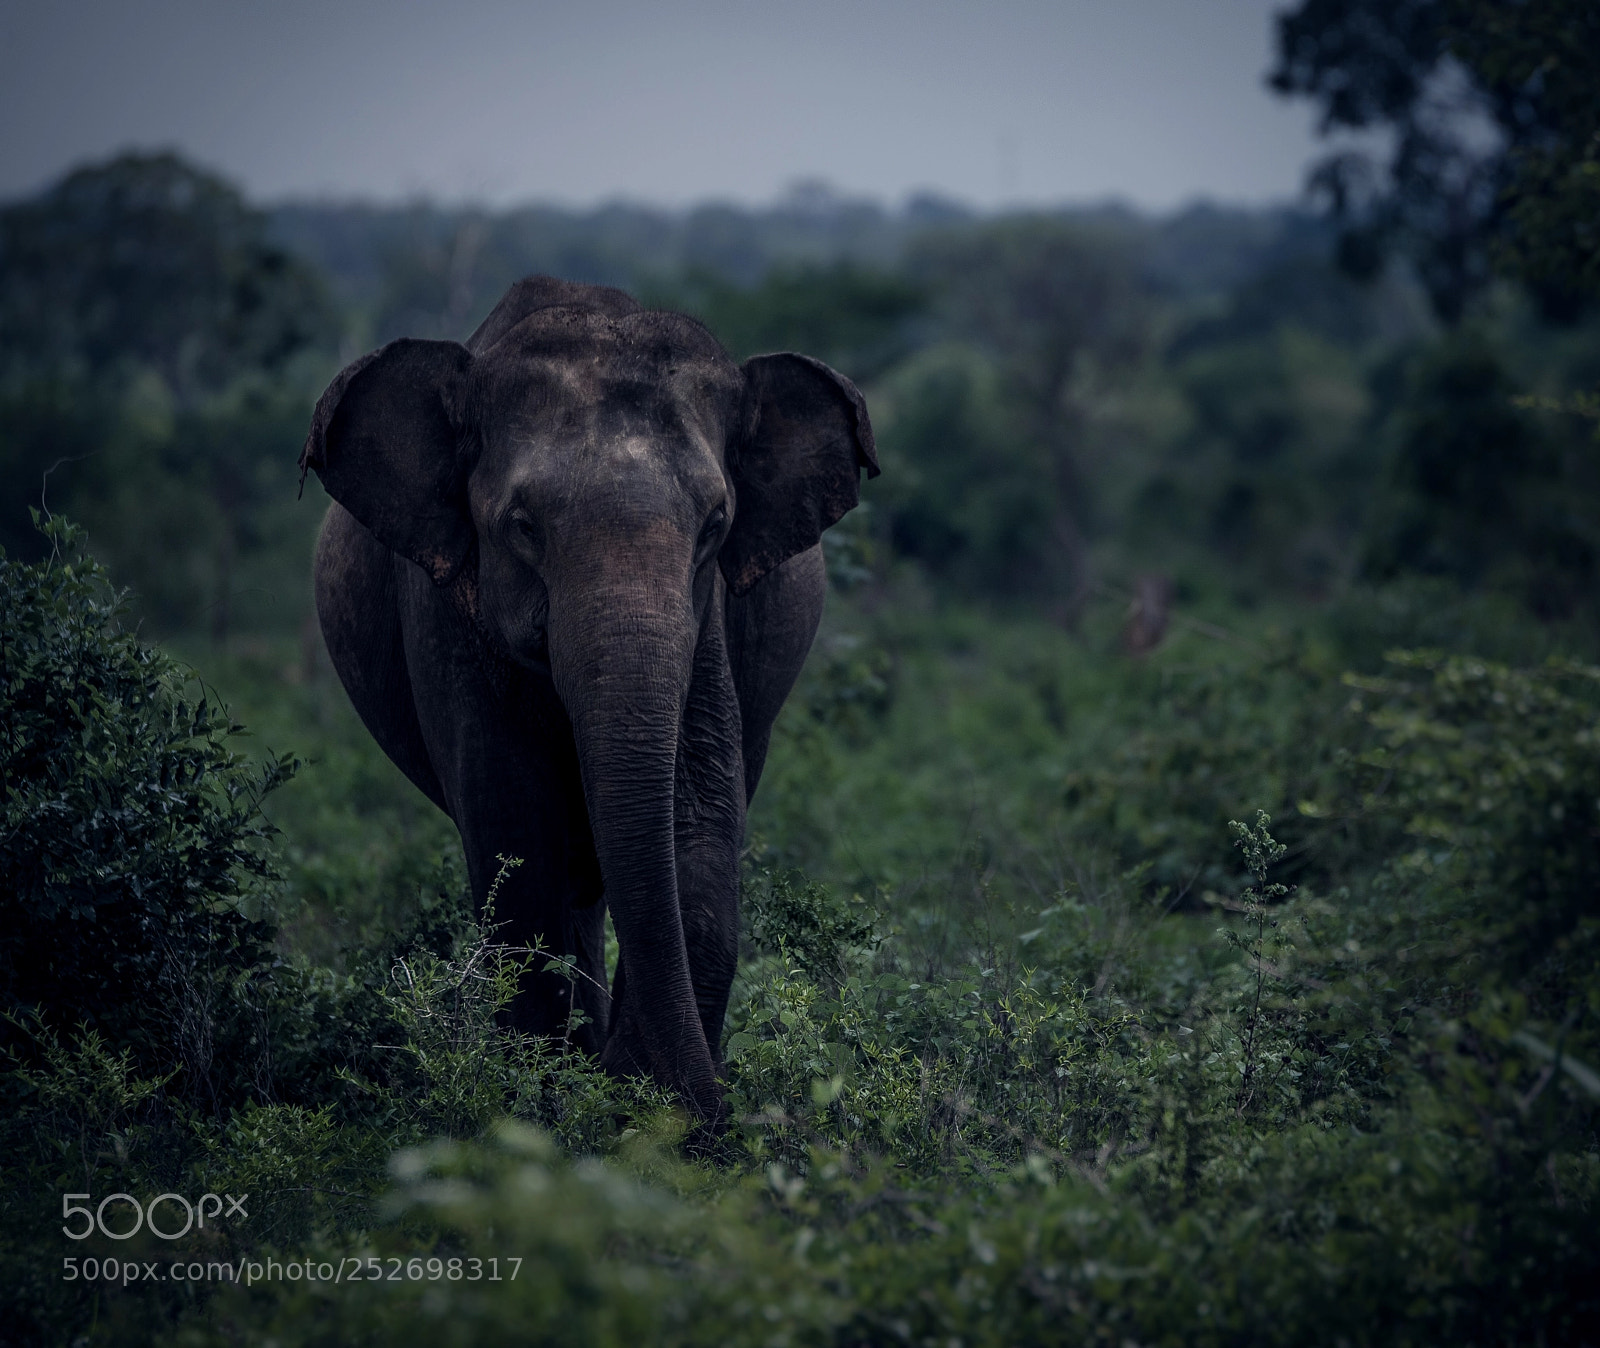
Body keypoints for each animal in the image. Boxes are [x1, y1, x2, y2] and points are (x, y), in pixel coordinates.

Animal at [299, 275, 877, 1127]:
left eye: (716, 525)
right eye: (523, 526)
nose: (720, 1113)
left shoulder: (707, 624)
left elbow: (696, 820)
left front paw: (638, 1098)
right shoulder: (443, 615)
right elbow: (516, 834)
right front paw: (560, 1102)